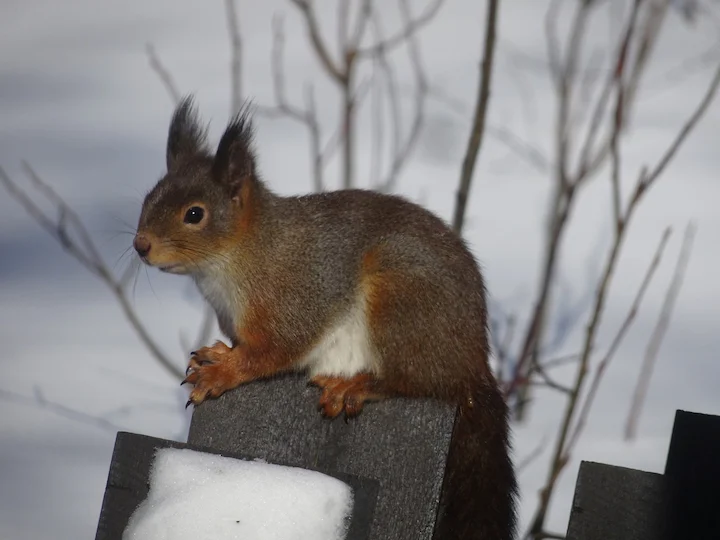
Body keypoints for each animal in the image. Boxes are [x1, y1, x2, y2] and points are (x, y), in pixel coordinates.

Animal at [134, 96, 517, 540]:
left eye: (195, 214)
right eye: (148, 198)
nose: (140, 245)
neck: (239, 256)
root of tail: (472, 366)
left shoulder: (296, 299)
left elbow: (272, 353)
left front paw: (222, 372)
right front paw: (218, 354)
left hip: (402, 304)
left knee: (418, 382)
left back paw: (357, 385)